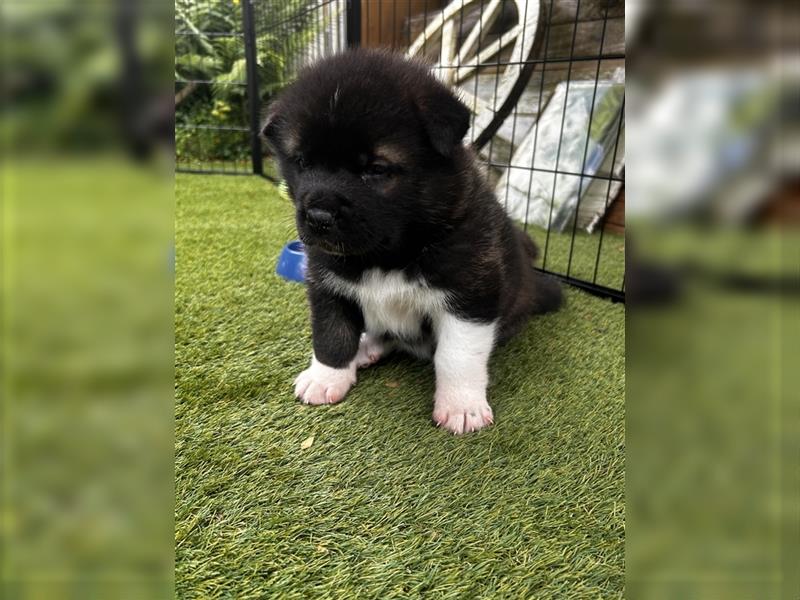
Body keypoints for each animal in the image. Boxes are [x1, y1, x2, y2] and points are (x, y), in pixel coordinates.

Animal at [264, 49, 564, 434]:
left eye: (376, 169)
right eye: (301, 162)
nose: (317, 217)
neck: (387, 254)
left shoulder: (471, 293)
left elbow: (457, 355)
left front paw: (461, 405)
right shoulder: (326, 283)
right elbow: (331, 335)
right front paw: (326, 377)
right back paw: (366, 348)